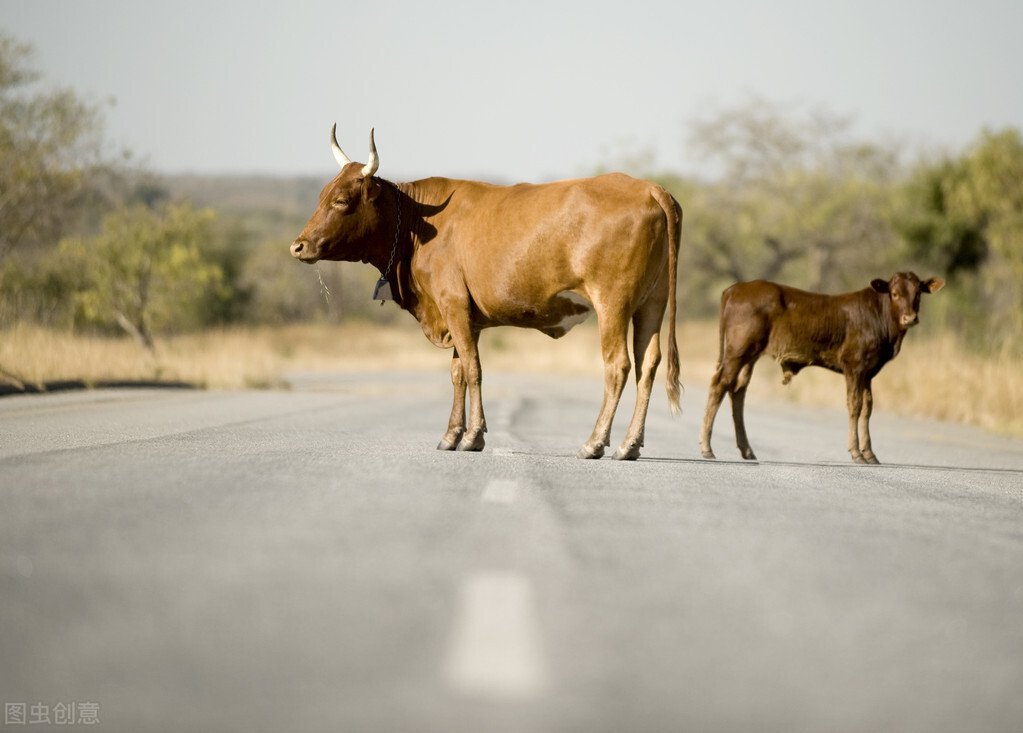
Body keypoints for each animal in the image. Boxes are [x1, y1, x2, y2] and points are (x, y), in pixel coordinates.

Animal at [292, 125, 683, 457]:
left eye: (342, 200)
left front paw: (473, 436)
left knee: (618, 365)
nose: (299, 246)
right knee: (648, 364)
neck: (420, 226)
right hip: (651, 303)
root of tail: (649, 187)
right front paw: (451, 434)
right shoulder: (465, 316)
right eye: (322, 195)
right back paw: (630, 444)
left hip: (612, 303)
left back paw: (595, 442)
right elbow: (458, 372)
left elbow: (473, 368)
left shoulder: (452, 304)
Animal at [699, 271, 945, 460]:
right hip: (737, 351)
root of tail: (734, 289)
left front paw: (870, 453)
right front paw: (856, 452)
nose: (910, 318)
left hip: (750, 355)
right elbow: (855, 405)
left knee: (738, 390)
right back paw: (707, 447)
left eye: (918, 294)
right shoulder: (854, 365)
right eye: (894, 293)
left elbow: (868, 407)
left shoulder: (868, 372)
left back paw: (747, 450)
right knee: (719, 384)